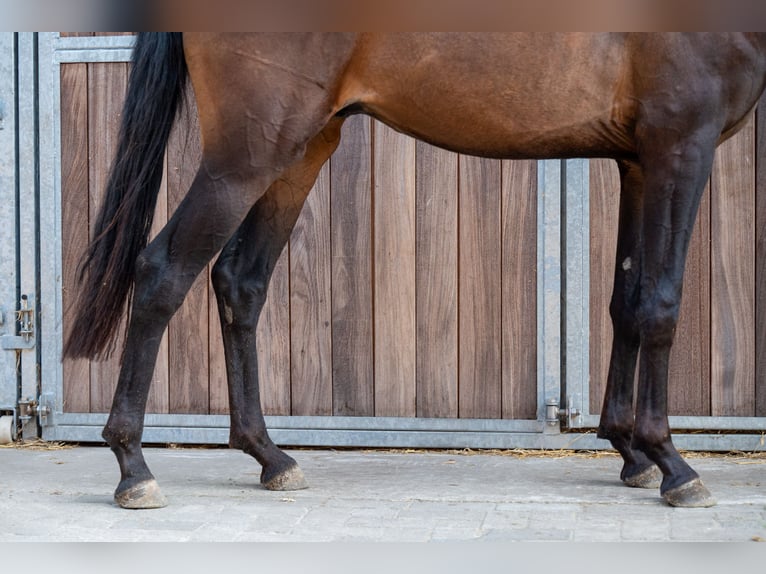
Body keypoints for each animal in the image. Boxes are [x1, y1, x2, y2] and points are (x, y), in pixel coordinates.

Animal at [63, 32, 766, 508]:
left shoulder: (638, 160)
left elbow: (626, 299)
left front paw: (628, 450)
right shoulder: (681, 146)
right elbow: (660, 303)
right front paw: (672, 463)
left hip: (300, 148)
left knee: (240, 281)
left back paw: (271, 457)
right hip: (247, 154)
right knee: (163, 272)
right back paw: (134, 468)